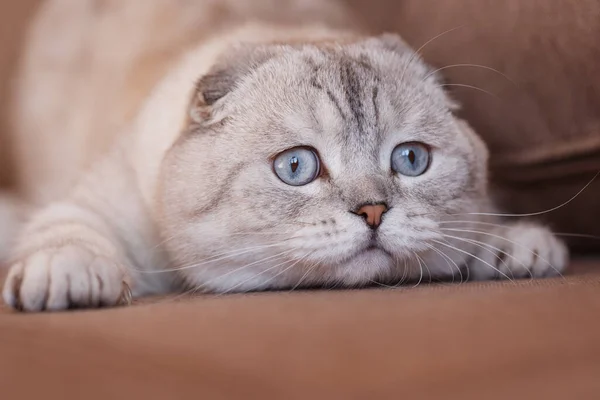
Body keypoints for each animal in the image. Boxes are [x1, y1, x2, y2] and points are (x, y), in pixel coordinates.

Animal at [0, 0, 568, 312]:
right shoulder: (99, 202)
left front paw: (514, 246)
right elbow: (67, 232)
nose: (374, 212)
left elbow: (481, 222)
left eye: (410, 160)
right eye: (296, 167)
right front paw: (68, 280)